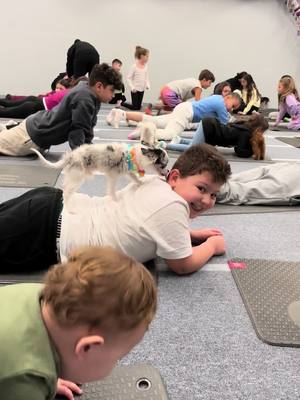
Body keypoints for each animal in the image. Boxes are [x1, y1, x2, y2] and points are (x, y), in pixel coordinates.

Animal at [31, 122, 170, 206]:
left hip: (74, 176)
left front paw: (141, 183)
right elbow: (112, 191)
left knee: (65, 187)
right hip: (78, 177)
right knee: (66, 191)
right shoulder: (113, 177)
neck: (135, 155)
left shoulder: (128, 171)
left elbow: (135, 178)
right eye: (164, 165)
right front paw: (116, 201)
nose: (168, 172)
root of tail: (70, 156)